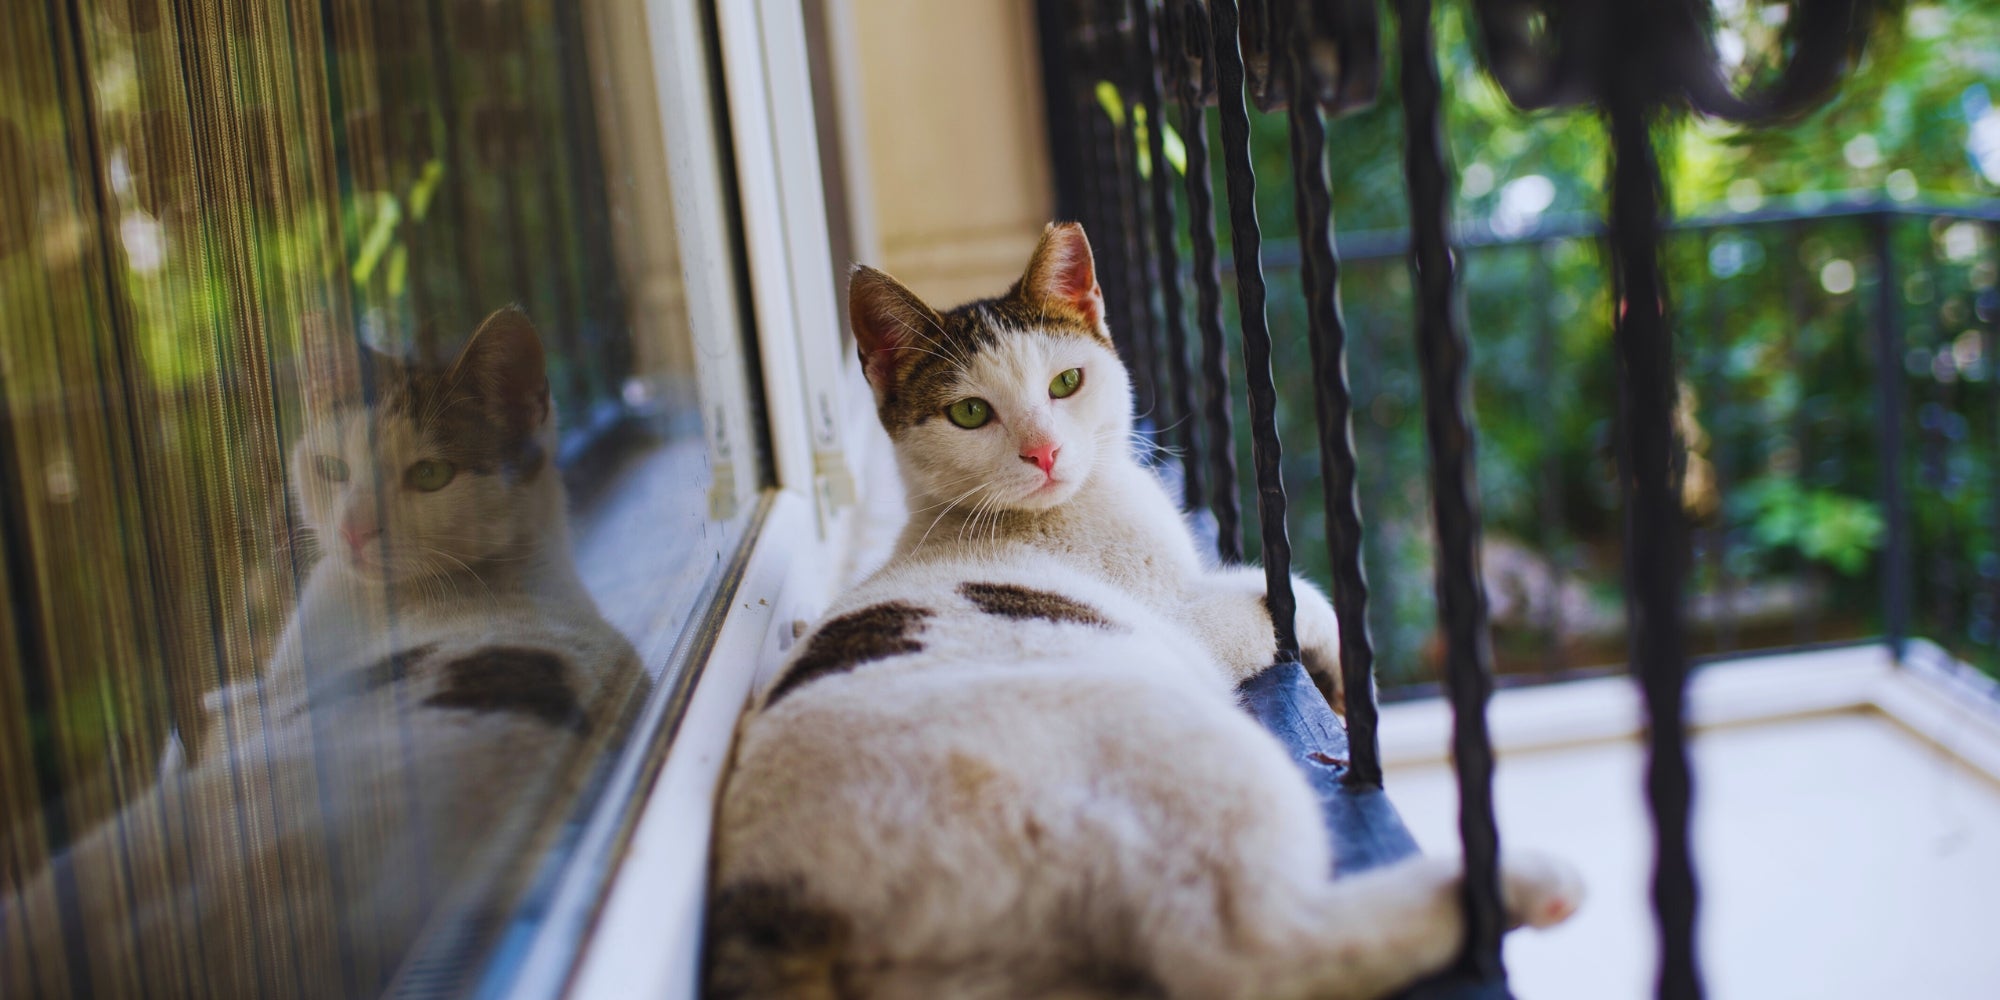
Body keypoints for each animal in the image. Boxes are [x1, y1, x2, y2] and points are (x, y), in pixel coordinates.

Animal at [712, 227, 1584, 1000]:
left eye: (1066, 384)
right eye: (969, 414)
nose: (1044, 453)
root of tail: (775, 893)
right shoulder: (1186, 613)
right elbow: (1296, 599)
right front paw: (1340, 669)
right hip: (1177, 740)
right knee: (1244, 954)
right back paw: (1514, 885)